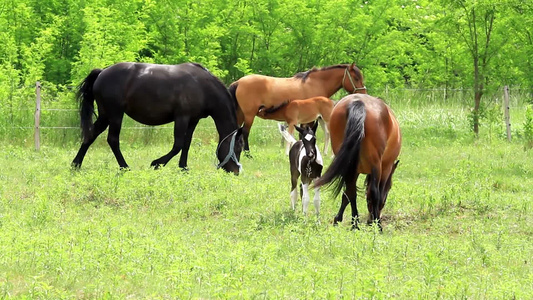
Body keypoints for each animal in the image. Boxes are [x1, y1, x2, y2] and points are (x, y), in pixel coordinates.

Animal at [70, 62, 243, 175]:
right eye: (238, 147)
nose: (236, 171)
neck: (202, 86)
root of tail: (102, 72)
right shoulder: (182, 117)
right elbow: (178, 145)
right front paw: (157, 163)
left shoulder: (193, 120)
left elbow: (186, 144)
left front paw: (183, 167)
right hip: (115, 115)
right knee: (112, 140)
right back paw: (125, 167)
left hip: (105, 116)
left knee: (91, 135)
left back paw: (76, 164)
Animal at [229, 62, 366, 156]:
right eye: (356, 78)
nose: (363, 94)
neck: (316, 83)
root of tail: (239, 82)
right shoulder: (310, 119)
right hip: (249, 115)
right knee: (245, 132)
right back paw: (248, 154)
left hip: (241, 114)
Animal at [312, 94, 400, 230]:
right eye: (390, 187)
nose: (369, 221)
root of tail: (358, 102)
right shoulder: (386, 167)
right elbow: (377, 194)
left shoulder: (354, 169)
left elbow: (346, 195)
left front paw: (337, 219)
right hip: (376, 165)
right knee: (373, 192)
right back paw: (377, 227)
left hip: (349, 165)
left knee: (351, 191)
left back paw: (355, 224)